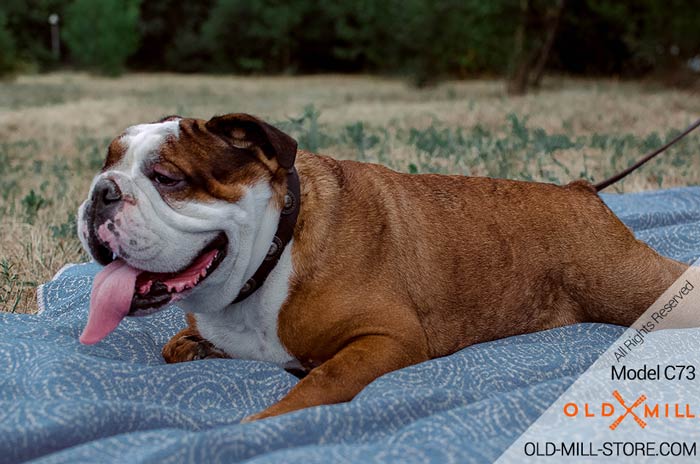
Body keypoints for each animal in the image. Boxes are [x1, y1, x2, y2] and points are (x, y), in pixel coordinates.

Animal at [76, 112, 684, 420]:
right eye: (105, 165)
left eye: (167, 178)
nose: (101, 192)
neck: (274, 249)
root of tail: (581, 190)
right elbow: (175, 346)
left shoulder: (388, 339)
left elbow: (322, 381)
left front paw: (264, 419)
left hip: (635, 287)